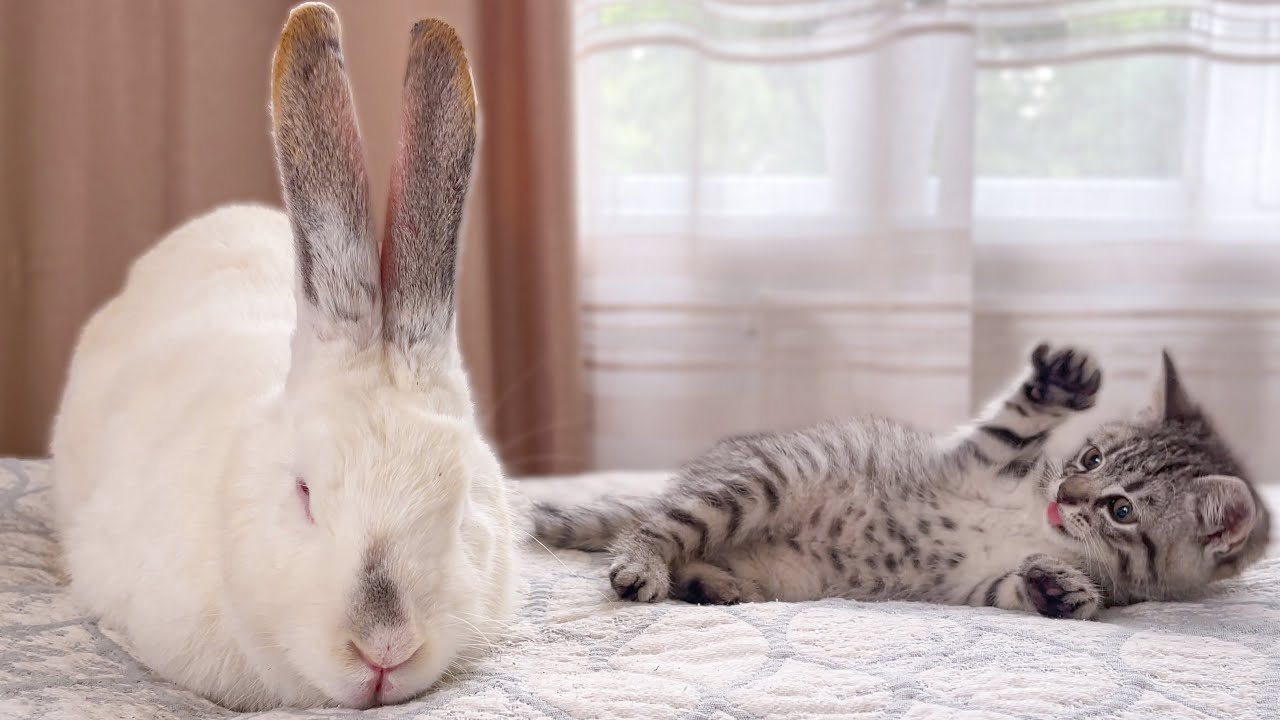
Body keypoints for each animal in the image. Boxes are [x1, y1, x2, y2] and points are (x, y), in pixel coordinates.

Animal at [529, 340, 1269, 617]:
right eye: (1089, 460)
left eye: (1121, 511)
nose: (1066, 495)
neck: (1038, 527)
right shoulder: (973, 460)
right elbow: (1014, 423)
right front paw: (1059, 382)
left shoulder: (976, 585)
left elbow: (1026, 591)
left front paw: (1060, 588)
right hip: (768, 478)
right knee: (658, 526)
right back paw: (643, 565)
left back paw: (712, 585)